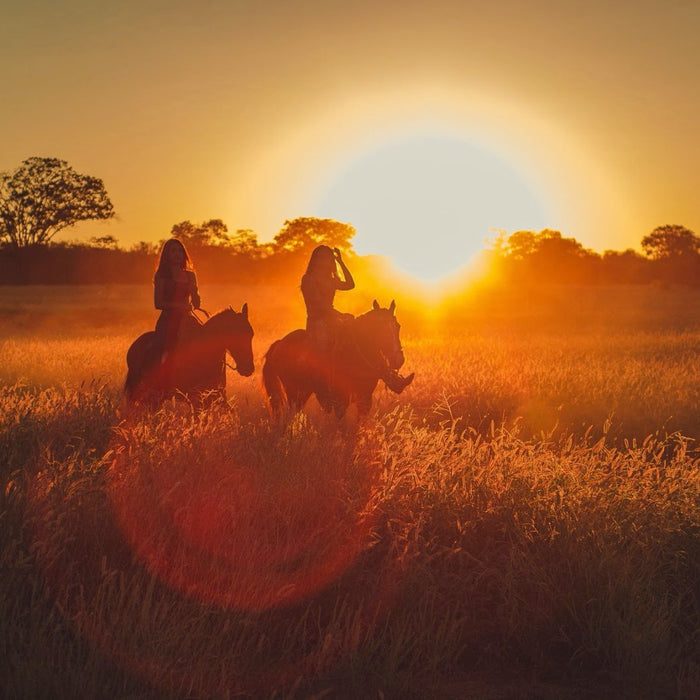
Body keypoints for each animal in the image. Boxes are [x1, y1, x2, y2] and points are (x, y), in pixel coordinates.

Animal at [262, 300, 404, 418]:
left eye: (398, 326)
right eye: (381, 329)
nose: (398, 360)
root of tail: (280, 343)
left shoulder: (365, 400)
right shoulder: (341, 402)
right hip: (295, 393)